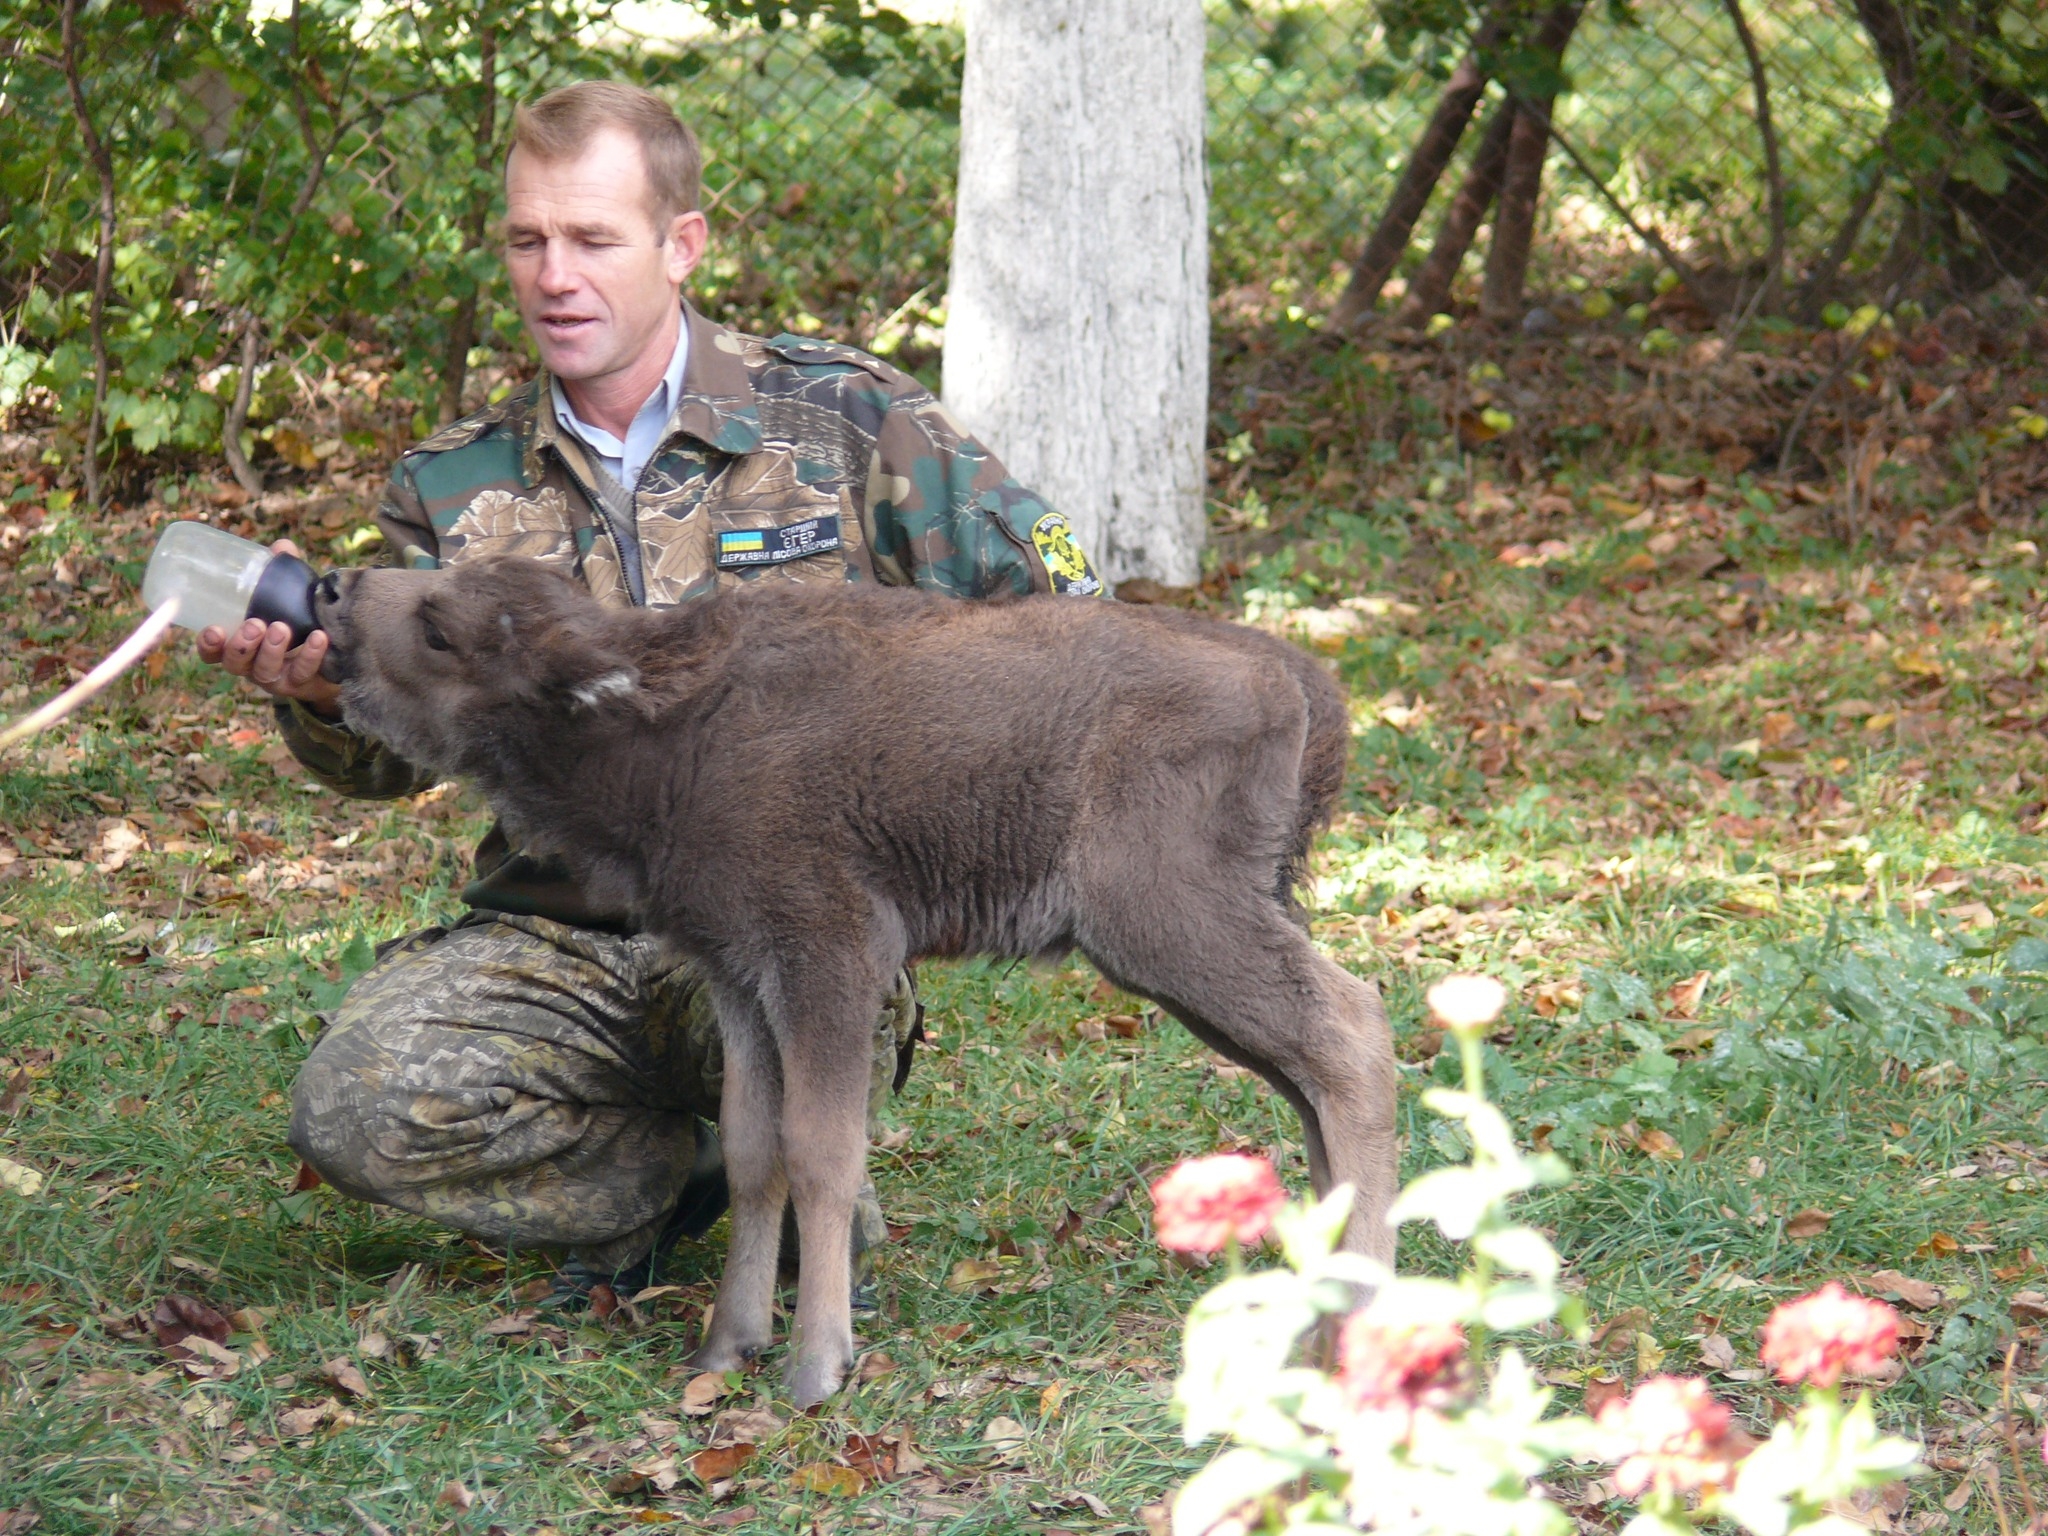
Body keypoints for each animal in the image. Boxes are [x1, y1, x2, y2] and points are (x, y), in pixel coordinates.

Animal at [319, 557, 1400, 1409]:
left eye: (441, 630)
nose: (336, 591)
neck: (664, 726)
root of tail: (1300, 685)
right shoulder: (739, 978)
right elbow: (753, 1148)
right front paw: (727, 1346)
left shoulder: (827, 958)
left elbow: (823, 1150)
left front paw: (815, 1367)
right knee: (1310, 1076)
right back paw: (1323, 1320)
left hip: (1166, 922)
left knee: (1351, 1031)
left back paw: (1360, 1332)